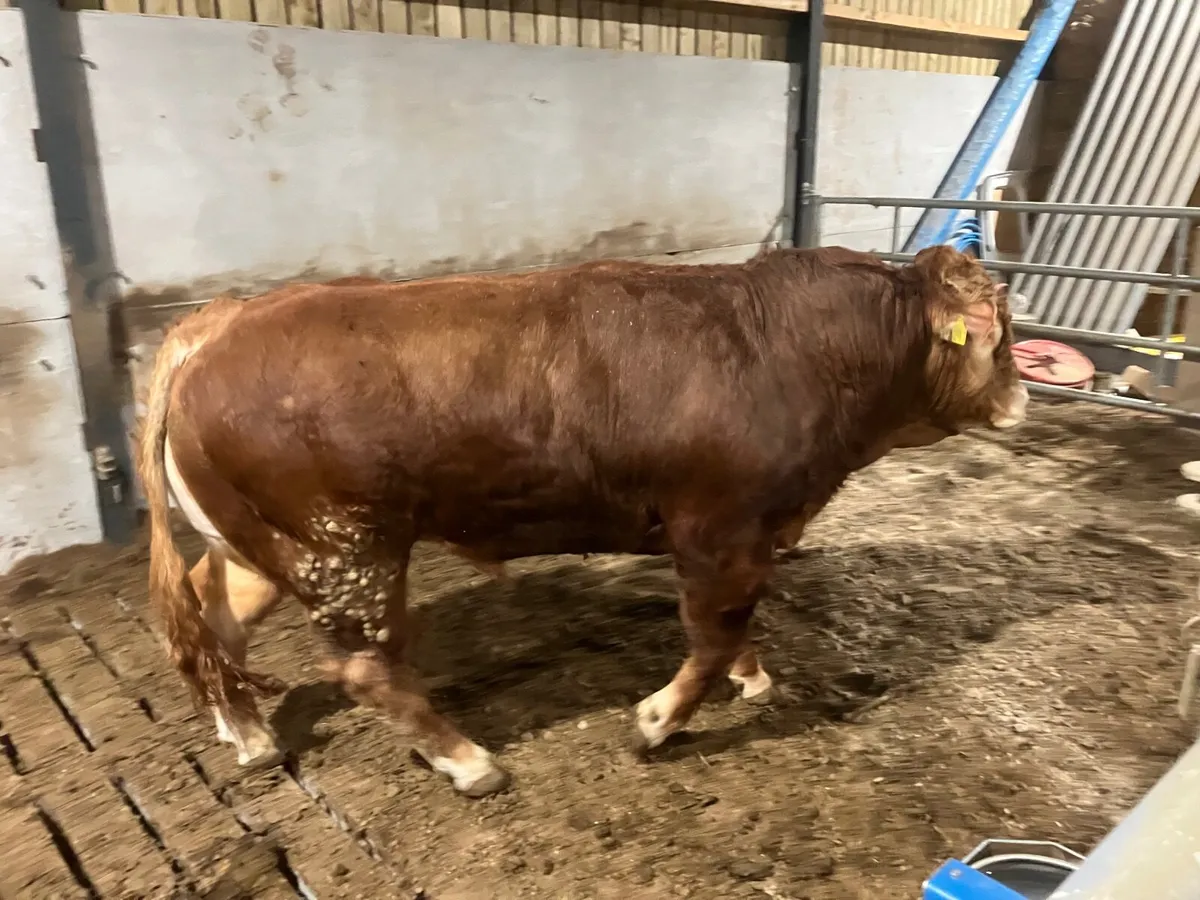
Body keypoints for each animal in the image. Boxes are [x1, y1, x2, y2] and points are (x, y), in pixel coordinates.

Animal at [137, 245, 1027, 798]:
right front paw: (660, 720)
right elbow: (713, 632)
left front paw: (753, 677)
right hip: (346, 548)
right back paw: (469, 762)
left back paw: (248, 733)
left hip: (264, 546)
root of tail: (217, 323)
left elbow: (737, 629)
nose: (1022, 395)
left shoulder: (753, 531)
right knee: (365, 671)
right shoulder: (720, 528)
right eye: (1005, 334)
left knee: (212, 620)